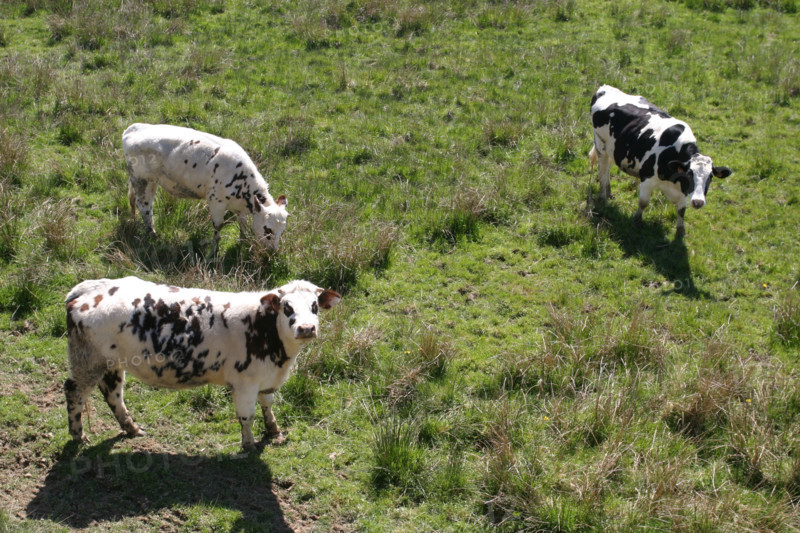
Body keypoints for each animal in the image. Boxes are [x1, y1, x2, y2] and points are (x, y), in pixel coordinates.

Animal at [64, 276, 341, 451]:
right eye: (287, 307)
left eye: (315, 307)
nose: (306, 328)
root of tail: (86, 290)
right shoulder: (245, 383)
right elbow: (247, 416)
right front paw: (249, 445)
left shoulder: (266, 379)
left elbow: (268, 405)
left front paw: (274, 432)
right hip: (88, 361)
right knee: (74, 391)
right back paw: (79, 436)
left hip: (110, 363)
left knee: (113, 394)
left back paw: (131, 428)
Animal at [122, 123, 289, 251]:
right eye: (268, 230)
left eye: (282, 231)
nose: (273, 251)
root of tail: (132, 129)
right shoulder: (216, 201)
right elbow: (218, 226)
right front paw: (215, 247)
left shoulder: (239, 207)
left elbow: (243, 223)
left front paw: (244, 239)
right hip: (142, 179)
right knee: (144, 206)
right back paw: (153, 234)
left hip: (147, 181)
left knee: (135, 201)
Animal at [589, 85, 732, 238]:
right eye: (689, 174)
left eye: (710, 177)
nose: (698, 202)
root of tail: (605, 87)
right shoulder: (647, 178)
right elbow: (643, 202)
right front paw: (637, 221)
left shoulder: (683, 189)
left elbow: (681, 210)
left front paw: (680, 231)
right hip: (600, 145)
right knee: (602, 171)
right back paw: (603, 197)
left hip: (612, 149)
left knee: (608, 168)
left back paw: (609, 192)